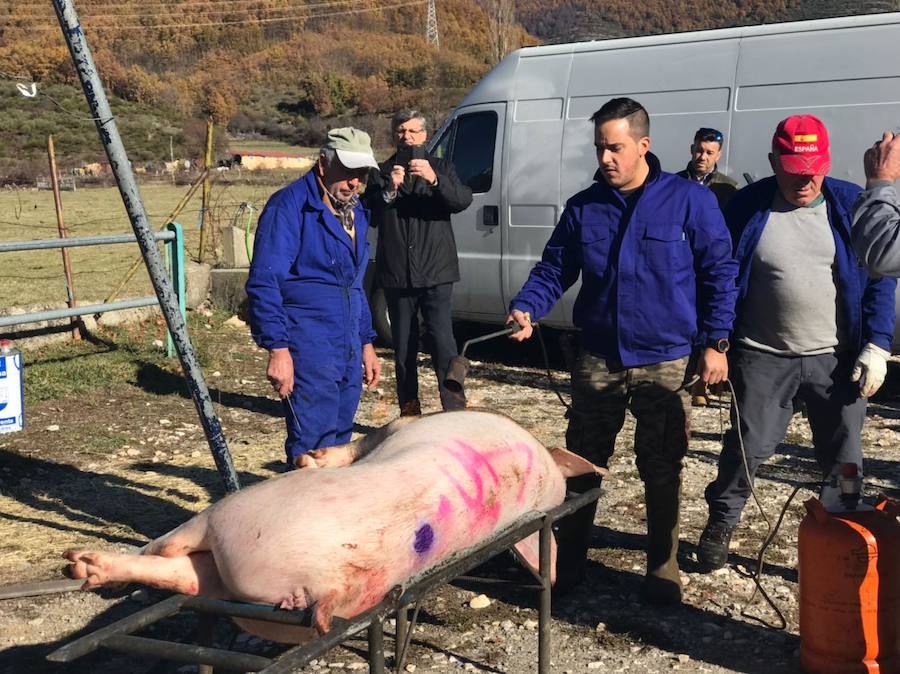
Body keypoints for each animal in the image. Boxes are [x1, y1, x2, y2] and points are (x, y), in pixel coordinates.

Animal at [67, 406, 600, 644]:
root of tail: (318, 590)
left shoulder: (404, 424)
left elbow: (363, 439)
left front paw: (311, 456)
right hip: (254, 594)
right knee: (184, 577)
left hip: (231, 517)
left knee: (166, 552)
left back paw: (80, 566)